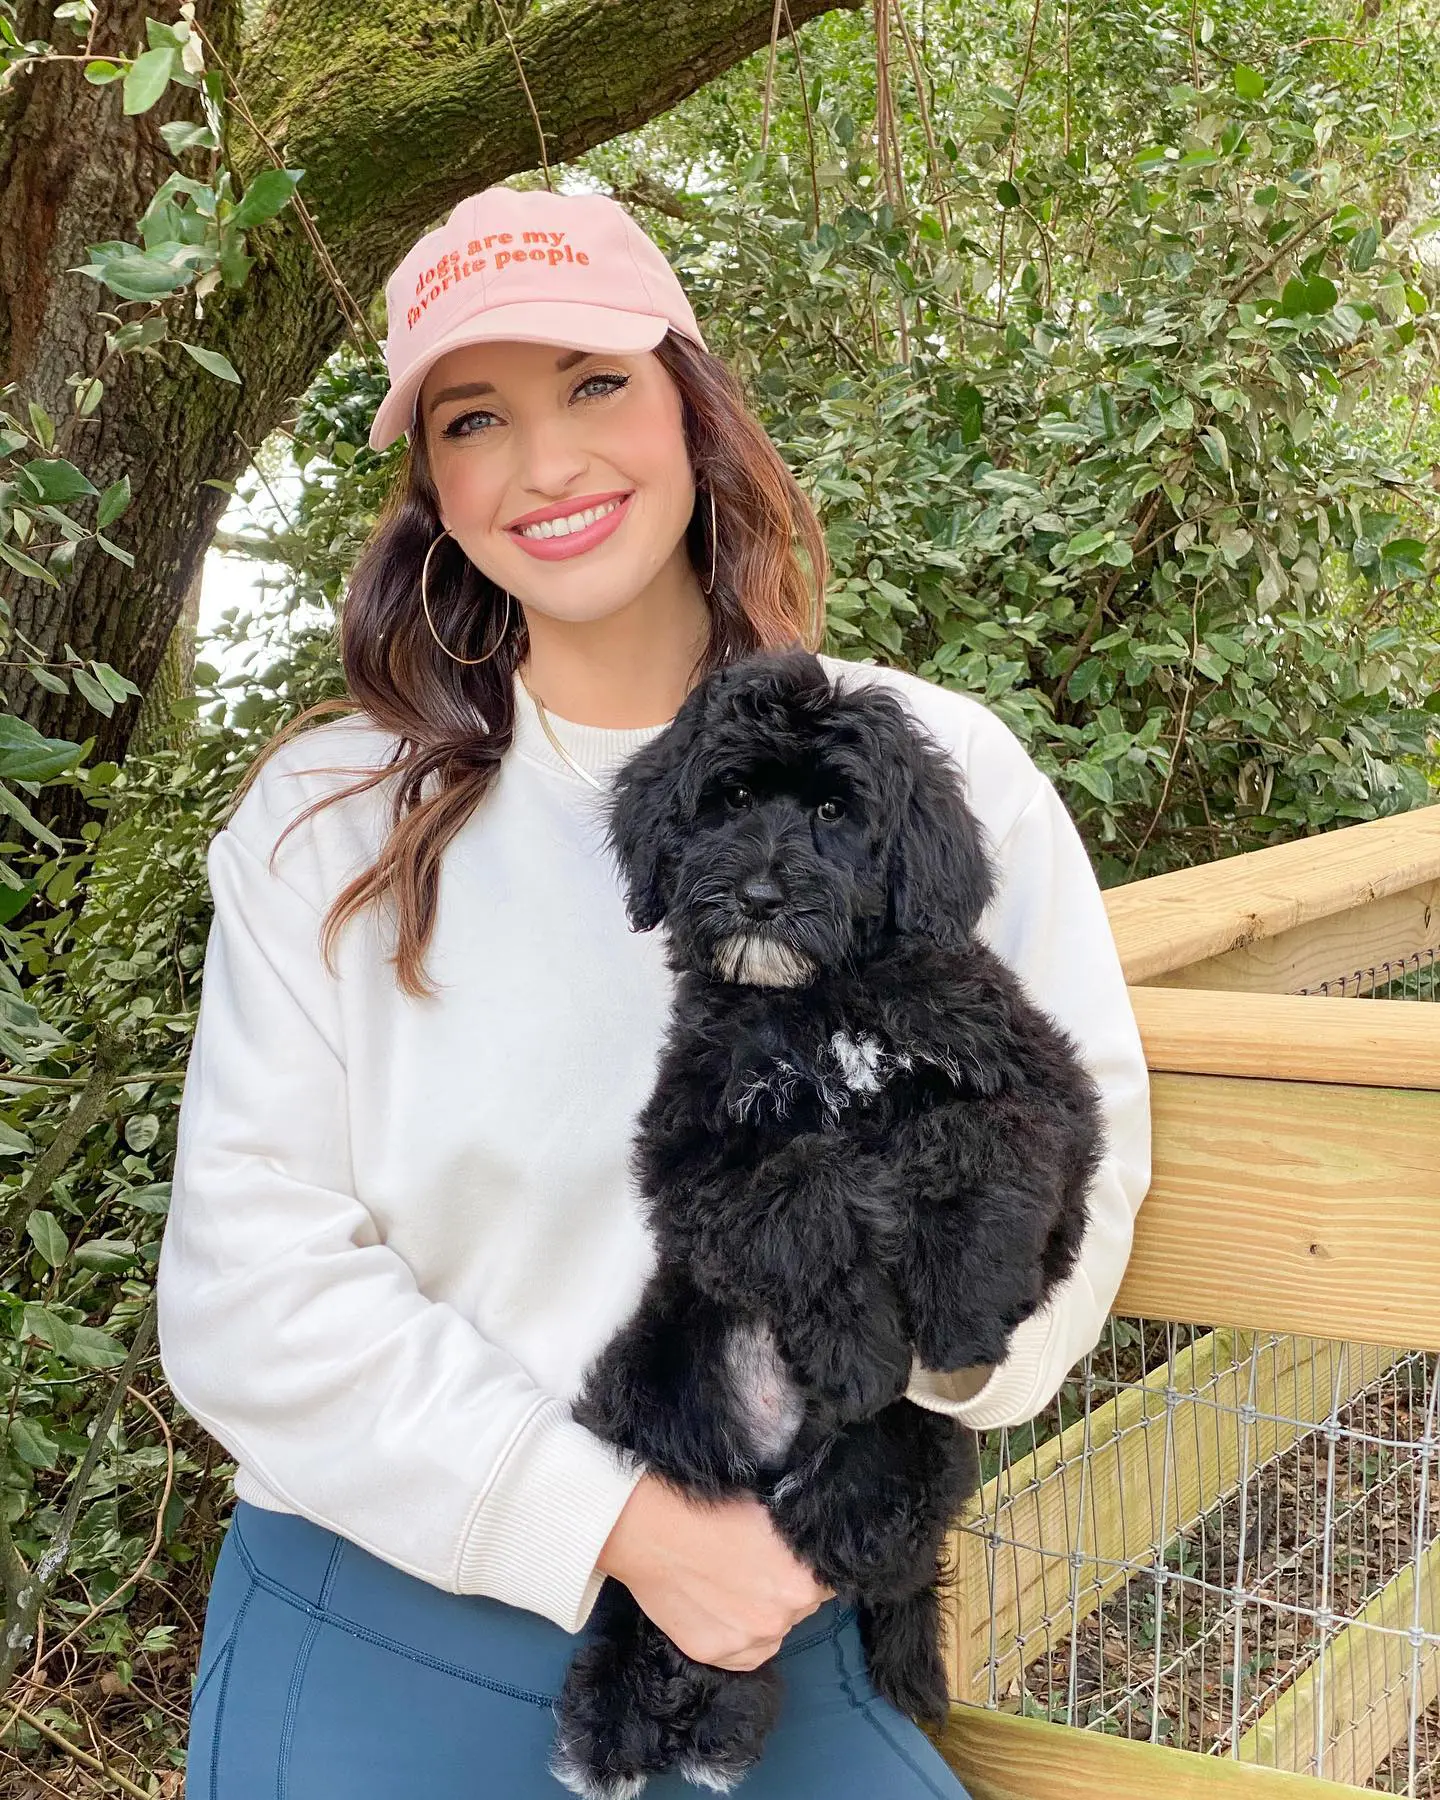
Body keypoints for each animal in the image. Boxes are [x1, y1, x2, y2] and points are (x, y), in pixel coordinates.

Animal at [550, 651, 1101, 1800]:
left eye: (836, 812)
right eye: (727, 800)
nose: (759, 893)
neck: (823, 1002)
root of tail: (775, 1459)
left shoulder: (1038, 1083)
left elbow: (980, 1144)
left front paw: (964, 1309)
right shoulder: (695, 1152)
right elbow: (806, 1188)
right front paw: (854, 1348)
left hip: (903, 1461)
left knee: (849, 1550)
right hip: (646, 1385)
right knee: (651, 1586)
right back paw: (627, 1720)